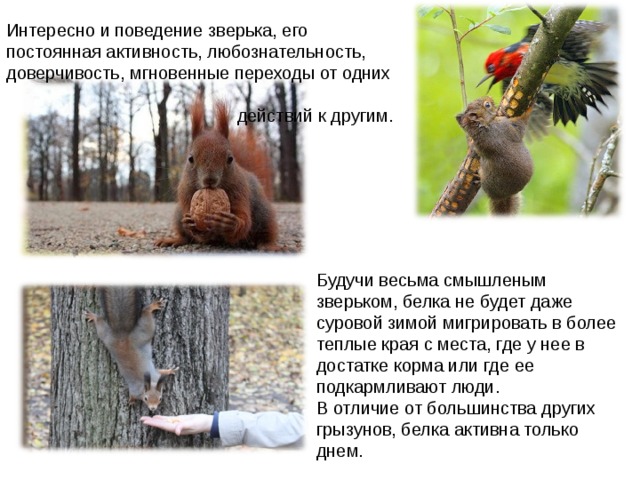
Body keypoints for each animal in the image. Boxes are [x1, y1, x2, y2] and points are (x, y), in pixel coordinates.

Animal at [155, 97, 278, 249]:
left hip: (263, 213)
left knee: (266, 232)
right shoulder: (186, 191)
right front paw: (191, 223)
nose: (210, 179)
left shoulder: (240, 190)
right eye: (190, 159)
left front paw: (229, 224)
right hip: (178, 215)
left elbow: (244, 219)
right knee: (184, 235)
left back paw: (269, 246)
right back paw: (174, 239)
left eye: (230, 159)